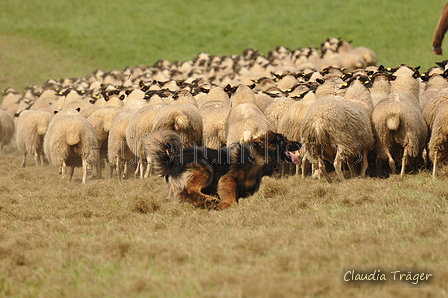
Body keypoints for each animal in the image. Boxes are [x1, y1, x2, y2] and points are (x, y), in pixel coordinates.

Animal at [145, 130, 302, 210]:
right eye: (284, 139)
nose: (300, 143)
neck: (262, 153)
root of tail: (171, 161)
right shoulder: (227, 179)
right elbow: (232, 201)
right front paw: (223, 204)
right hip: (206, 169)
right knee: (191, 190)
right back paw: (210, 201)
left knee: (191, 197)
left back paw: (206, 203)